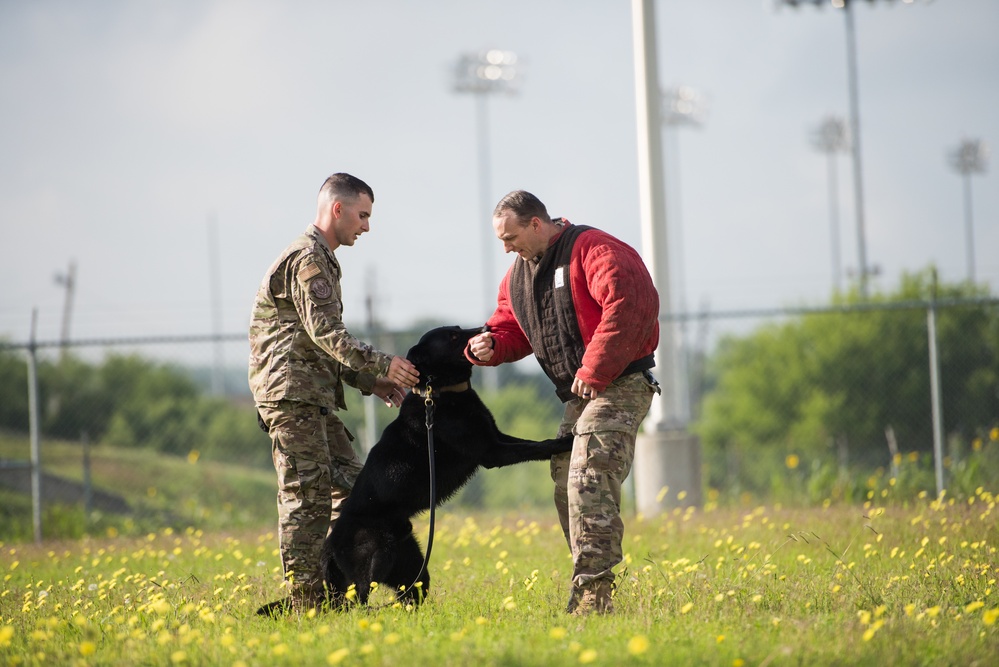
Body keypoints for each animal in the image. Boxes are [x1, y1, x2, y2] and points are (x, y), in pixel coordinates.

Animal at [318, 324, 572, 612]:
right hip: (373, 561)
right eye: (452, 335)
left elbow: (530, 443)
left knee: (406, 596)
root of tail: (330, 544)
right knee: (359, 601)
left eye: (459, 329)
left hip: (411, 567)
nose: (486, 328)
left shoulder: (496, 438)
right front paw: (566, 441)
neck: (441, 392)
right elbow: (536, 447)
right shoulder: (492, 451)